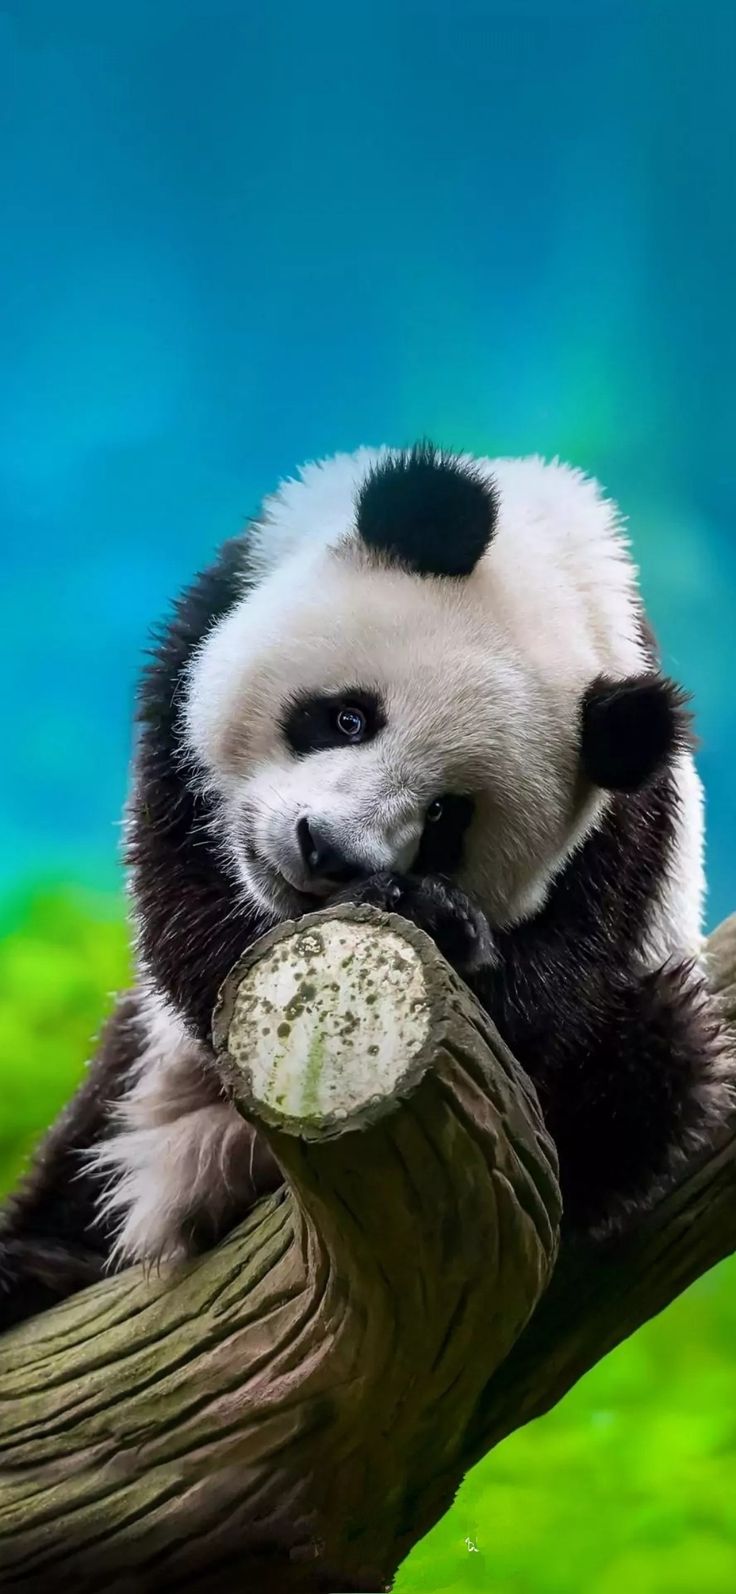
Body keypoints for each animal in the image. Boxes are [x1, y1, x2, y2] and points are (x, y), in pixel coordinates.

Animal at [0, 442, 731, 1330]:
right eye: (349, 717)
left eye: (448, 818)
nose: (324, 851)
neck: (551, 563)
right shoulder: (201, 638)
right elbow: (188, 911)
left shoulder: (625, 831)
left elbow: (545, 1005)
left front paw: (436, 920)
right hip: (149, 1075)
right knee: (91, 1134)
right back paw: (36, 1263)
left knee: (658, 1058)